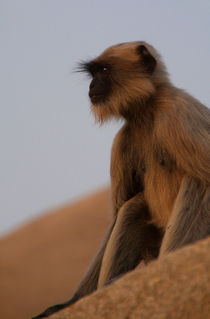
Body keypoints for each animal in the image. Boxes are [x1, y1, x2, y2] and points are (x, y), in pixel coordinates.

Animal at [32, 42, 209, 319]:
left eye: (103, 71)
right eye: (93, 74)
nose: (92, 86)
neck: (147, 110)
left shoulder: (178, 114)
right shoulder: (123, 140)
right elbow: (117, 213)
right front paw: (73, 300)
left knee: (196, 181)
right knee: (132, 206)